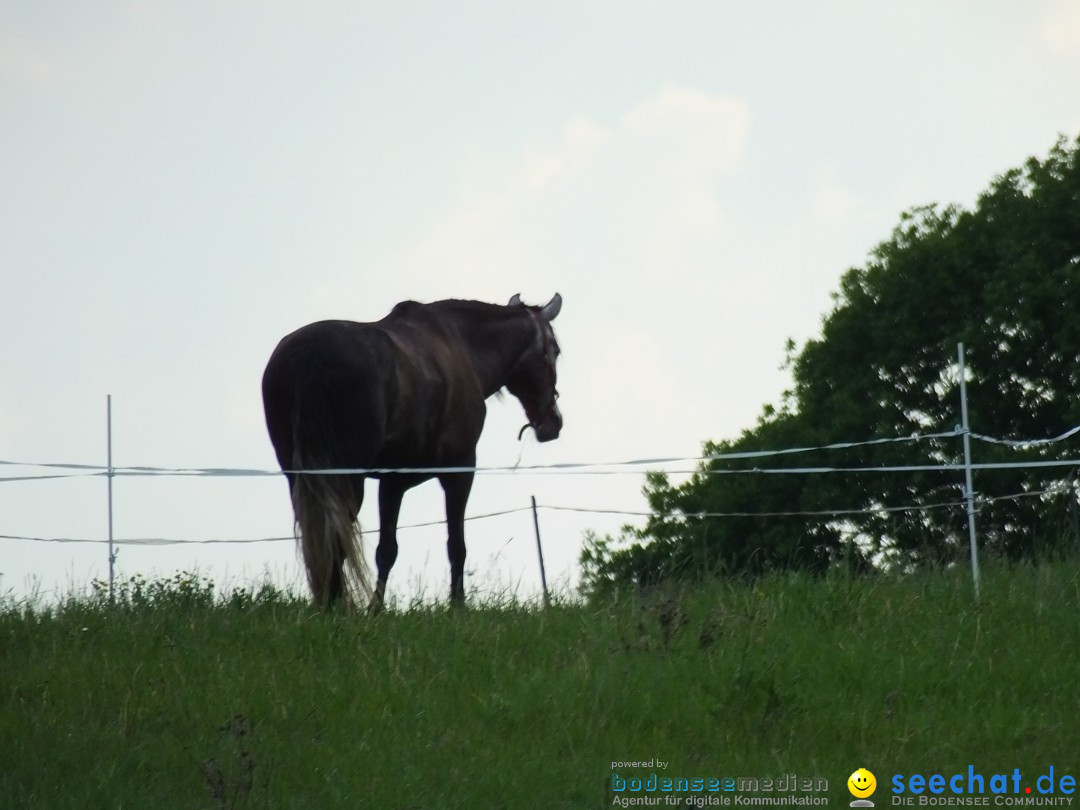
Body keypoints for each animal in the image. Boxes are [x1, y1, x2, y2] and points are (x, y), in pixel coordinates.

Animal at [262, 293, 565, 609]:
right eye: (555, 351)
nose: (553, 423)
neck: (462, 346)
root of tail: (308, 356)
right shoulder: (460, 472)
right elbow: (456, 545)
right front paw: (457, 606)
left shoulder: (392, 482)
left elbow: (386, 550)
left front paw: (376, 609)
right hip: (346, 478)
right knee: (334, 538)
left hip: (299, 478)